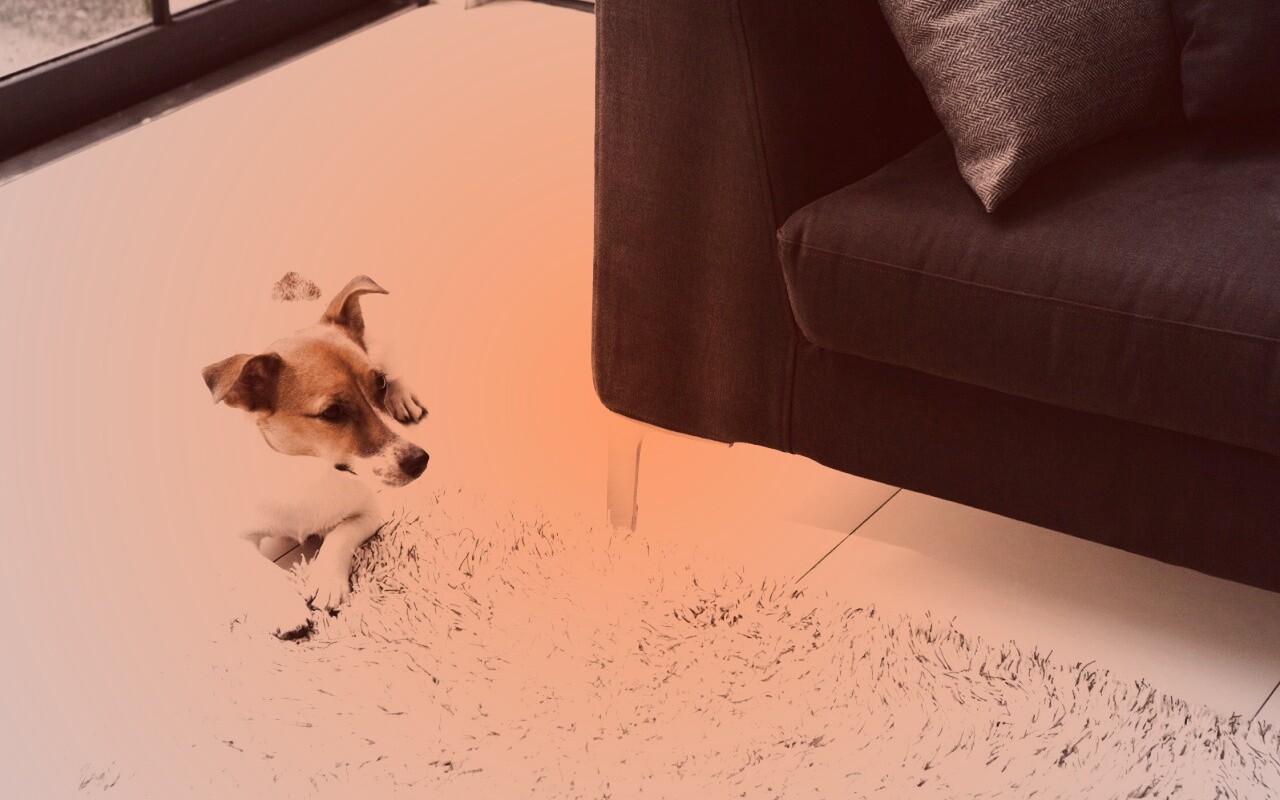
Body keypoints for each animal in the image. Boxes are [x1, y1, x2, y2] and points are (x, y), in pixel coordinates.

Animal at [201, 275, 428, 639]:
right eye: (332, 412)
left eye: (378, 384)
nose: (420, 461)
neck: (305, 472)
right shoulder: (228, 535)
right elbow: (257, 566)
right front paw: (279, 604)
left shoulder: (370, 510)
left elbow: (338, 536)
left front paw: (326, 581)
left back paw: (403, 397)